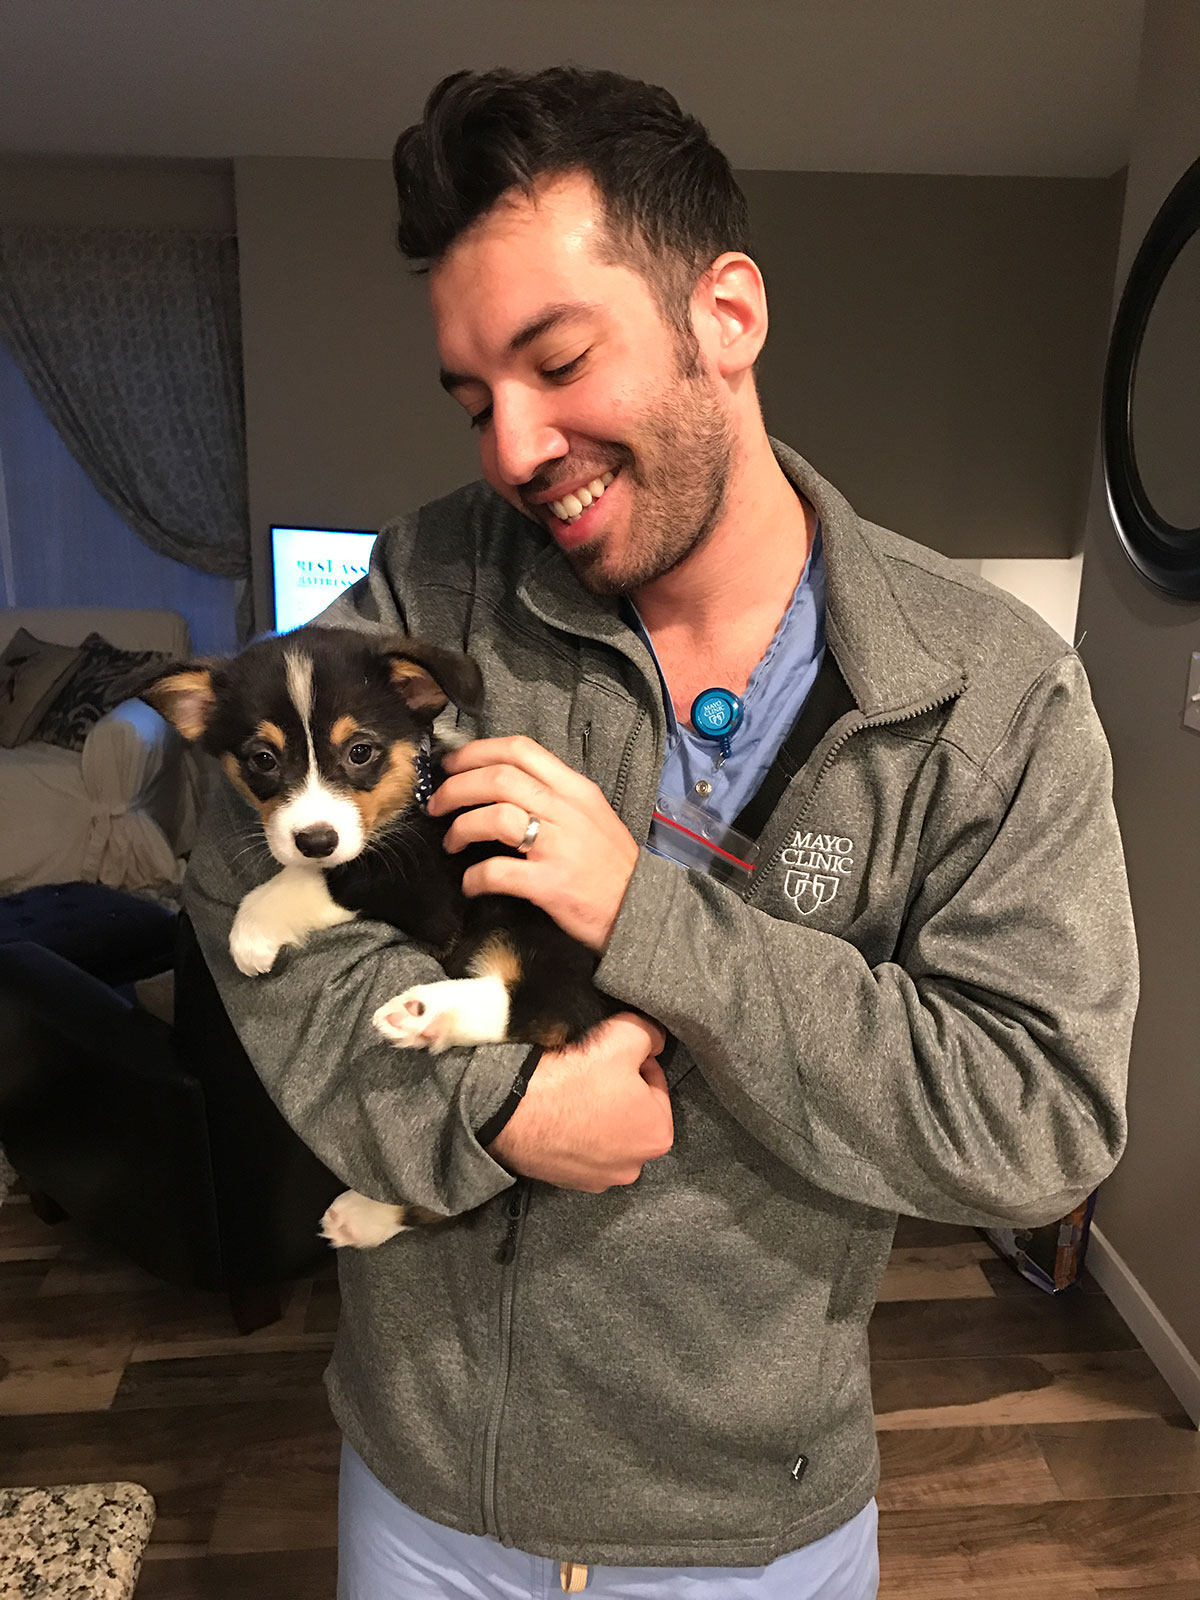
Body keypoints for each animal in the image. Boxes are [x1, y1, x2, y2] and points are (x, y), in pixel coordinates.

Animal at [140, 625, 617, 1247]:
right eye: (262, 759)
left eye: (360, 751)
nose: (315, 838)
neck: (409, 795)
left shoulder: (423, 888)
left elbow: (325, 878)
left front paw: (250, 932)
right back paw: (365, 1215)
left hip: (531, 918)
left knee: (547, 1004)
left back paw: (424, 1013)